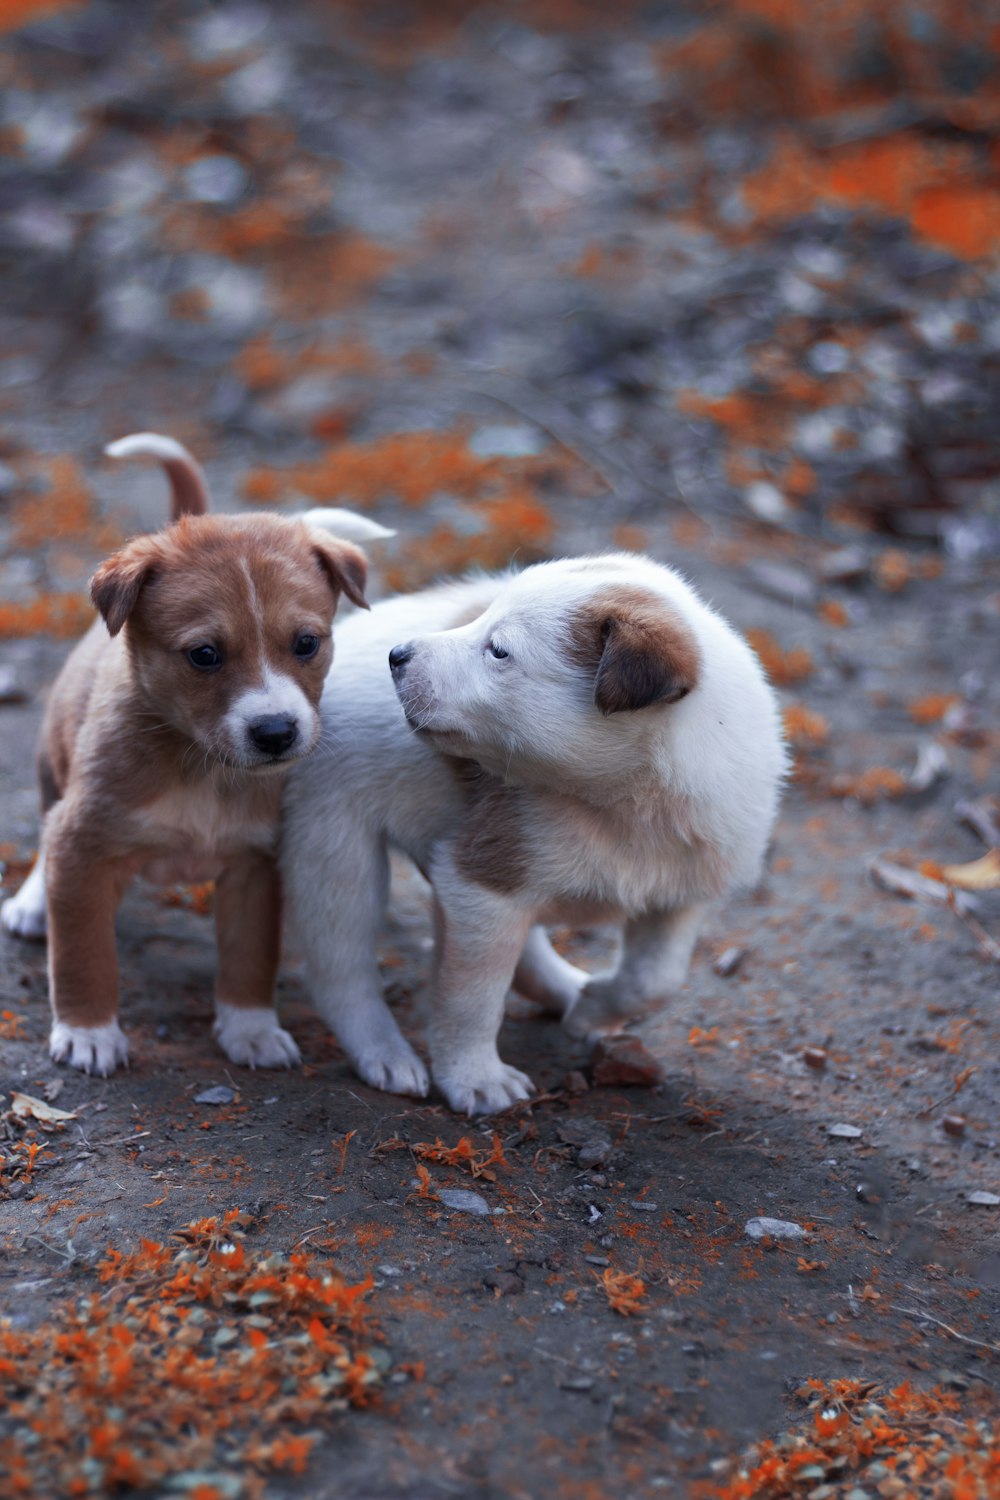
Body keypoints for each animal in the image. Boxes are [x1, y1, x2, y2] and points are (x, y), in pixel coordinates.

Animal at [0, 435, 379, 1080]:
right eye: (204, 655)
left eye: (307, 643)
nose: (276, 731)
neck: (202, 768)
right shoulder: (82, 846)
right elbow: (83, 954)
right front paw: (88, 1032)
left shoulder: (255, 867)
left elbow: (251, 957)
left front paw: (252, 1028)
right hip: (52, 764)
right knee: (44, 834)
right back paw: (30, 905)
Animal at [280, 555, 779, 1116]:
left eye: (499, 650)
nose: (397, 655)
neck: (621, 804)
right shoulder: (482, 884)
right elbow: (473, 997)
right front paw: (475, 1078)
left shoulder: (679, 896)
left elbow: (655, 980)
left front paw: (592, 1013)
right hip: (335, 848)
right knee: (342, 973)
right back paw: (384, 1054)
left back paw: (570, 990)